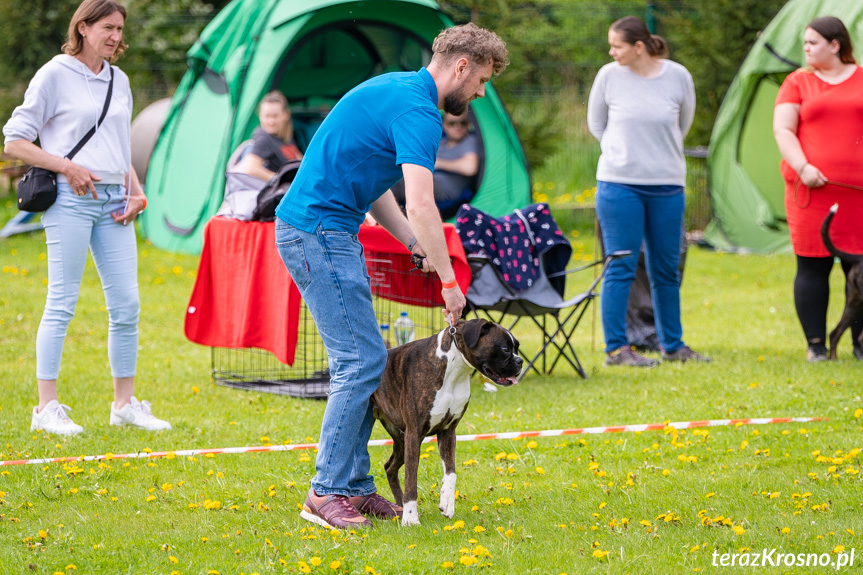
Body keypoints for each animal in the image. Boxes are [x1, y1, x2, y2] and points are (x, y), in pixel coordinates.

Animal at [370, 320, 520, 528]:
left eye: (517, 348)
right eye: (505, 349)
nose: (520, 361)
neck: (454, 371)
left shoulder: (448, 432)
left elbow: (451, 472)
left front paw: (447, 503)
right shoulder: (414, 434)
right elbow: (411, 478)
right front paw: (411, 517)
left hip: (401, 440)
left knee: (389, 467)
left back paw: (399, 505)